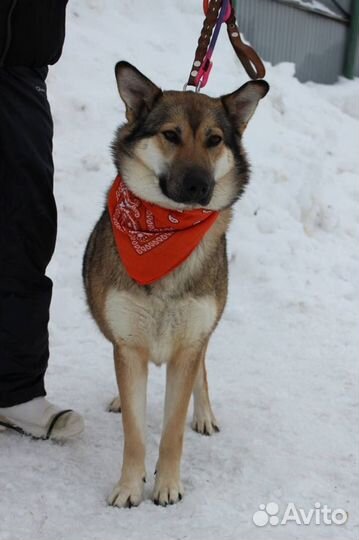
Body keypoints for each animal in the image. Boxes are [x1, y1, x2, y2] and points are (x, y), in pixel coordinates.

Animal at [83, 61, 270, 508]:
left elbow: (172, 430)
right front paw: (129, 487)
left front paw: (167, 486)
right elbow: (134, 431)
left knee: (202, 369)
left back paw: (203, 415)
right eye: (171, 135)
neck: (165, 229)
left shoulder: (188, 342)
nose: (199, 186)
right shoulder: (128, 345)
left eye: (214, 140)